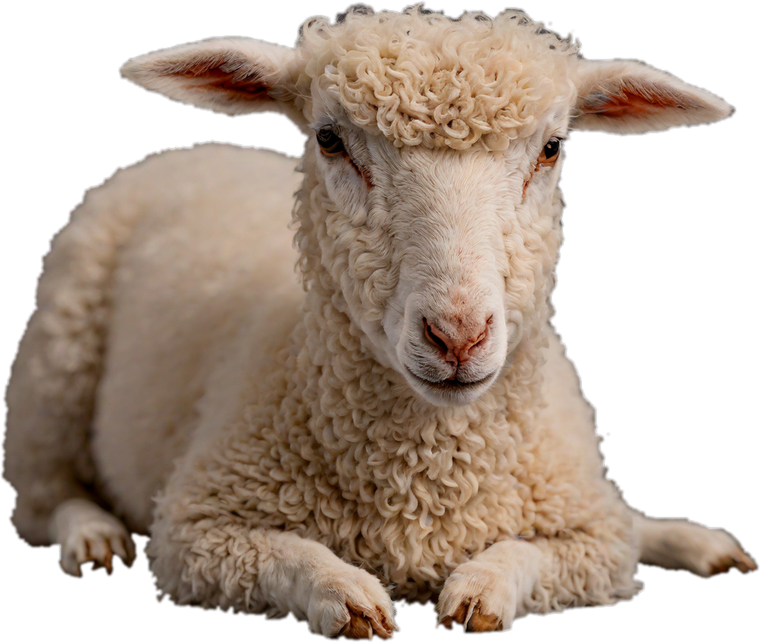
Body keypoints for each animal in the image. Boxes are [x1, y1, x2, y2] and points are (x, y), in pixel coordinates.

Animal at [2, 3, 755, 639]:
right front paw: (343, 593)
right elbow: (281, 555)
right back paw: (94, 537)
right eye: (331, 141)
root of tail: (187, 151)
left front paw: (482, 588)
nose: (457, 335)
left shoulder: (592, 540)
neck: (423, 478)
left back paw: (694, 540)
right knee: (44, 495)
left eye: (551, 150)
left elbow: (539, 553)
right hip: (57, 357)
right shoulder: (199, 529)